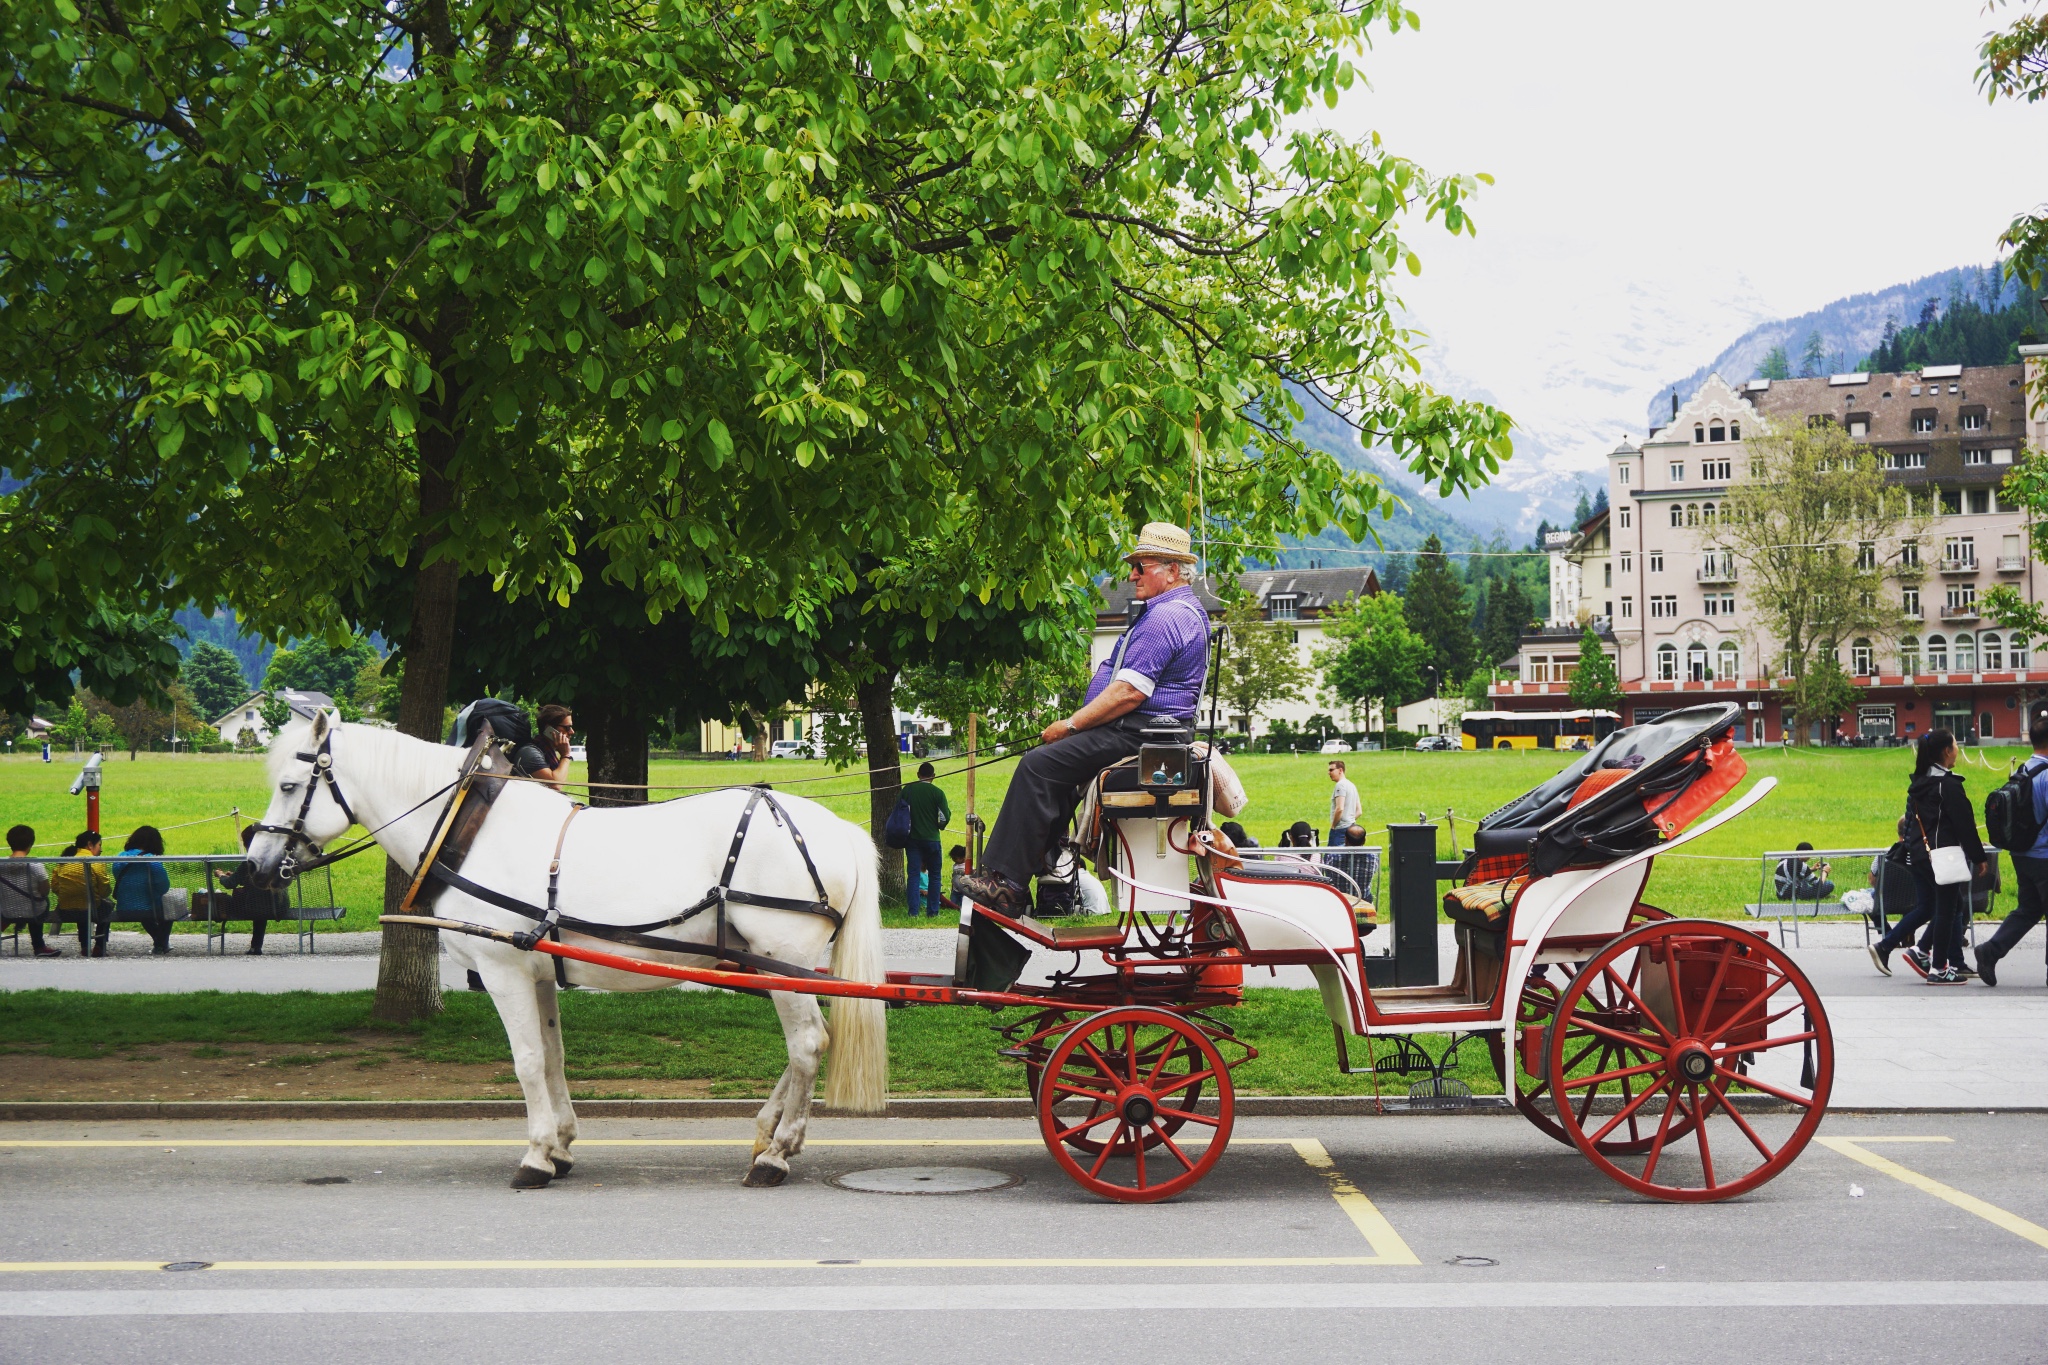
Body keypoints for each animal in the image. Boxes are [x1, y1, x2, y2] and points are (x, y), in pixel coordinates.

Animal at [243, 712, 884, 1186]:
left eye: (289, 786)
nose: (254, 867)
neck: (467, 826)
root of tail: (836, 829)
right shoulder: (536, 972)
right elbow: (551, 1057)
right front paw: (561, 1145)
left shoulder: (502, 968)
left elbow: (526, 1060)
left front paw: (534, 1156)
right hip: (777, 966)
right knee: (808, 1044)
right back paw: (768, 1135)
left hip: (784, 956)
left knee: (807, 1043)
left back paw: (776, 1154)